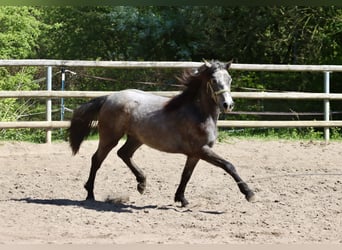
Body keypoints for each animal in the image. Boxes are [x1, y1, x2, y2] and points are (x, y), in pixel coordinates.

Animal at [68, 59, 255, 206]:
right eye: (214, 80)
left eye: (229, 79)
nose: (228, 105)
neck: (198, 112)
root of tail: (108, 97)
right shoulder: (202, 150)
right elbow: (228, 165)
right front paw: (249, 193)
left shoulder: (195, 154)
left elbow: (186, 175)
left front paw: (181, 199)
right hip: (110, 137)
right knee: (97, 159)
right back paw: (90, 194)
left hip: (136, 138)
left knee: (124, 153)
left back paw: (141, 183)